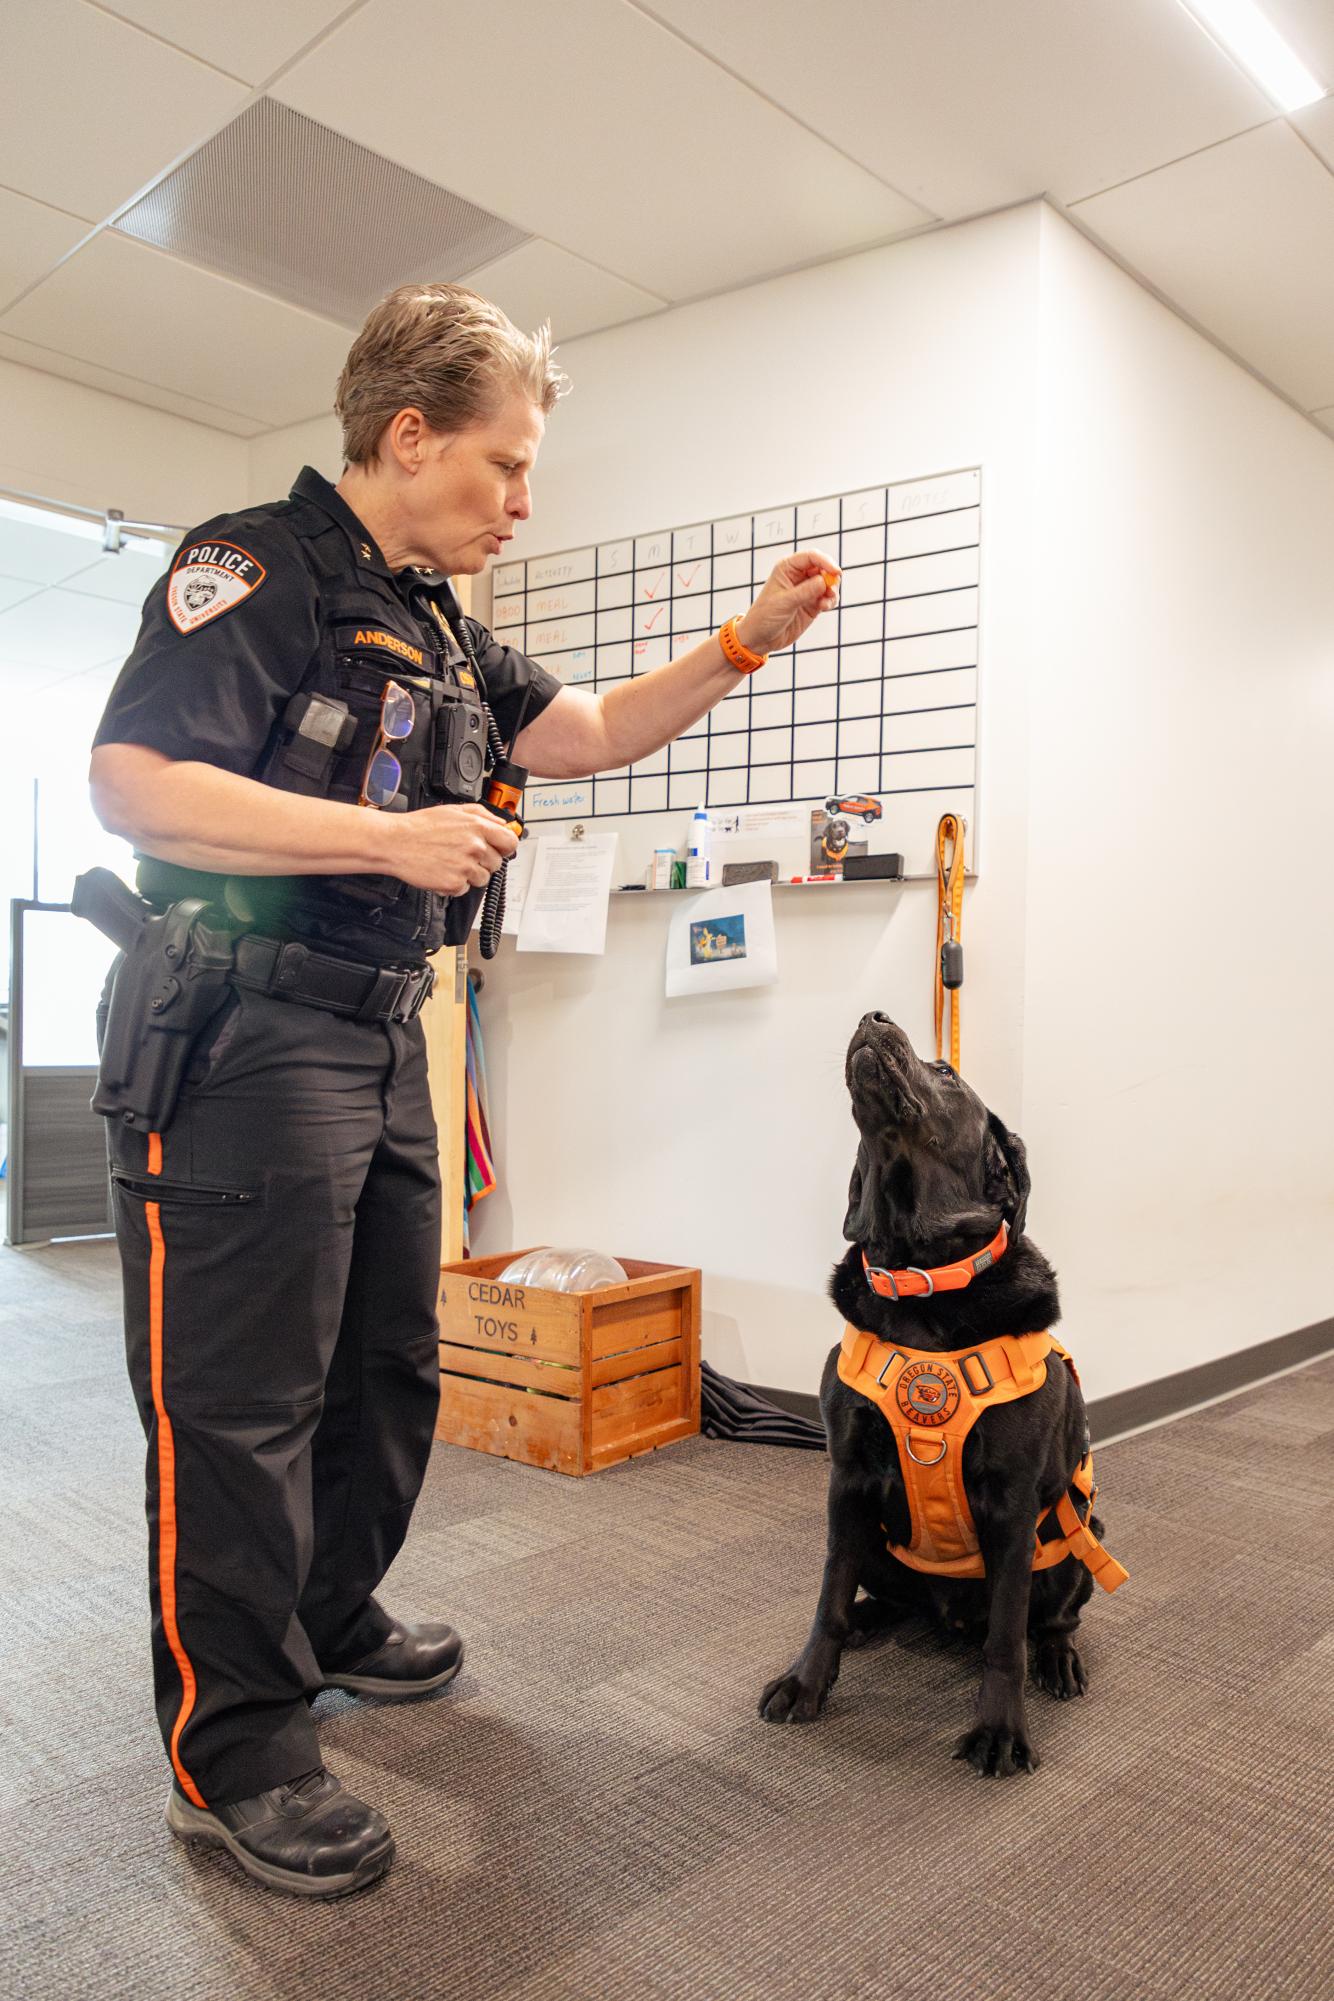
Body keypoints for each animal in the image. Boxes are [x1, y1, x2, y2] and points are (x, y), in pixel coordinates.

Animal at [760, 1008, 1104, 1776]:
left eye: (945, 1071)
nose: (874, 1015)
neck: (923, 1282)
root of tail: (949, 1619)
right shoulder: (848, 1479)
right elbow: (827, 1596)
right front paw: (806, 1682)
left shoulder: (1010, 1502)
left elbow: (1006, 1637)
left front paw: (1000, 1730)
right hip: (872, 1537)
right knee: (881, 1594)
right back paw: (869, 1619)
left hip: (1080, 1534)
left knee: (1051, 1617)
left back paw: (1058, 1660)